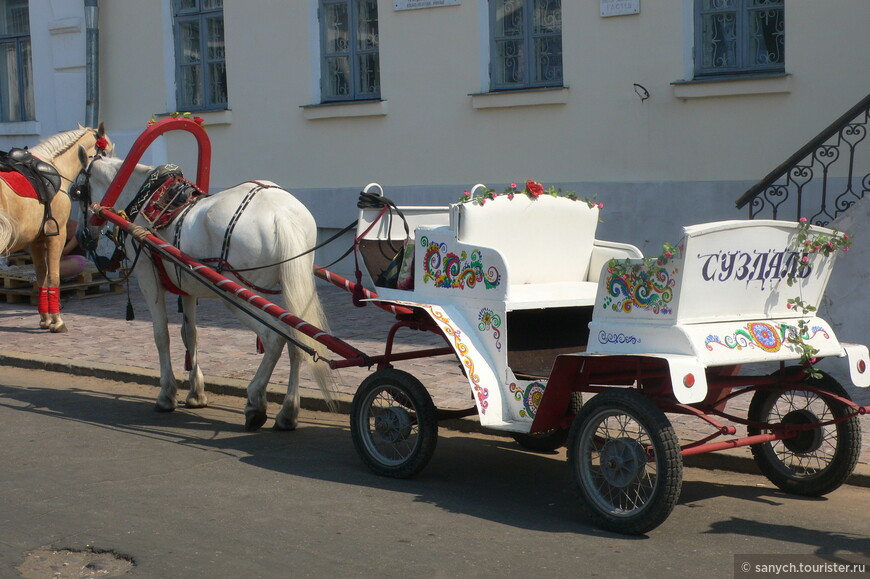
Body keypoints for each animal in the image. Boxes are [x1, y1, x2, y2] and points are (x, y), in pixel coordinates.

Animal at [0, 124, 110, 334]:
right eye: (107, 152)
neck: (55, 166)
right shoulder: (56, 237)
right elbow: (54, 277)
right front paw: (57, 321)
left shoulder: (36, 241)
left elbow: (41, 277)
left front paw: (45, 319)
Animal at [74, 152, 338, 432]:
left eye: (77, 192)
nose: (81, 236)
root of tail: (280, 214)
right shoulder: (187, 285)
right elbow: (190, 334)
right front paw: (196, 393)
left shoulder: (148, 278)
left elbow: (161, 335)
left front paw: (167, 394)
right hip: (289, 288)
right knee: (297, 342)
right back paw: (288, 412)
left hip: (236, 294)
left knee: (274, 338)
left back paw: (256, 402)